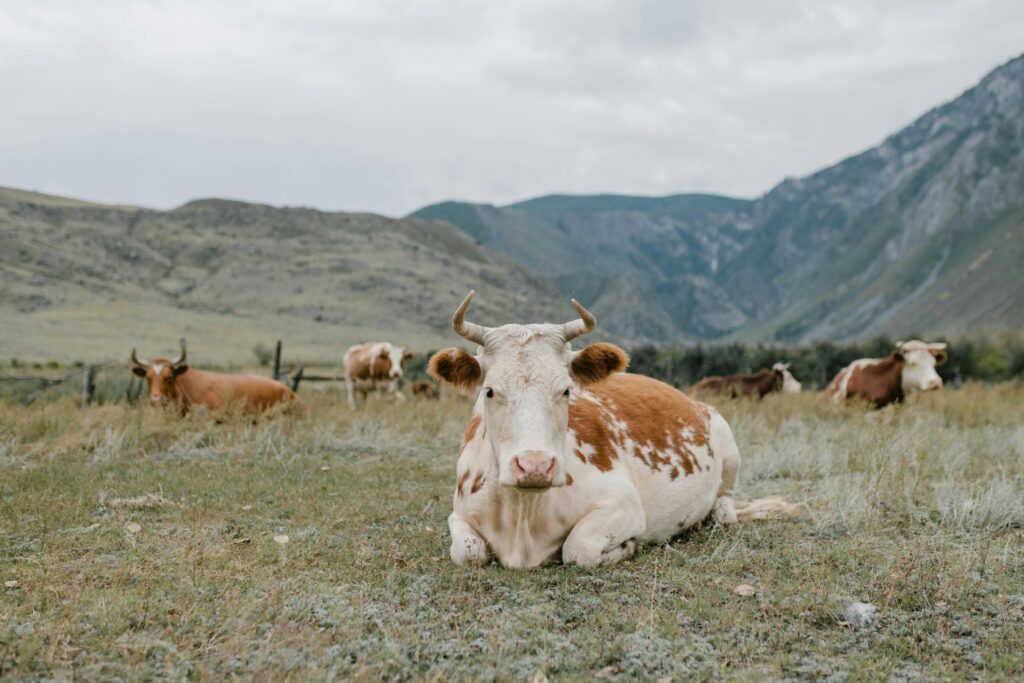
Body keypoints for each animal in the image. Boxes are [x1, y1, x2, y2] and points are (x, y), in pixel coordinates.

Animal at [428, 291, 800, 569]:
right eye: (489, 391)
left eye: (566, 390)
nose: (535, 467)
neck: (523, 515)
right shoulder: (458, 513)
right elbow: (468, 552)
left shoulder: (625, 506)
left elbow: (577, 549)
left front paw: (626, 548)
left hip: (728, 445)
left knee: (726, 504)